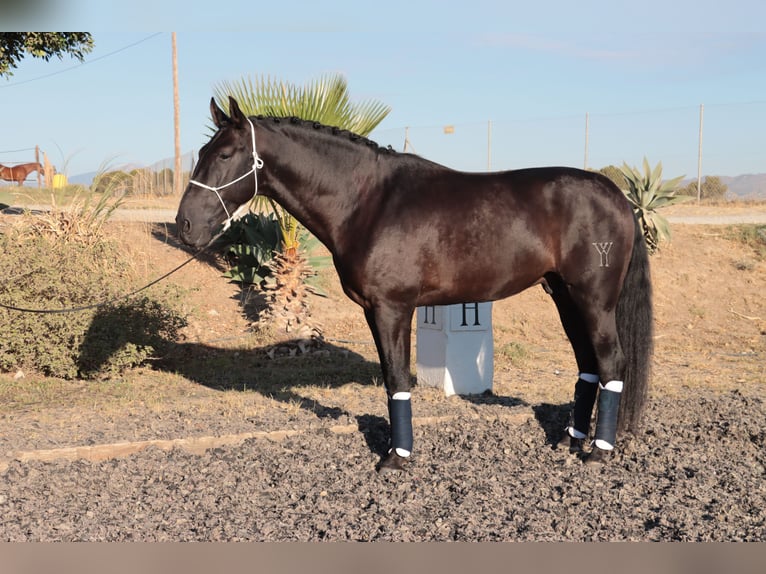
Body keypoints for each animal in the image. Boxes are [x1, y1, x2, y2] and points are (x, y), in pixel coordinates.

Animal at [176, 98, 656, 472]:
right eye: (202, 150)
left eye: (225, 155)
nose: (186, 225)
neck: (367, 200)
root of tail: (617, 194)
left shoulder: (391, 308)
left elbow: (396, 378)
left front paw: (396, 457)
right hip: (564, 296)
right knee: (587, 363)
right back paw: (572, 440)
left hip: (594, 299)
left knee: (611, 362)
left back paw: (598, 451)